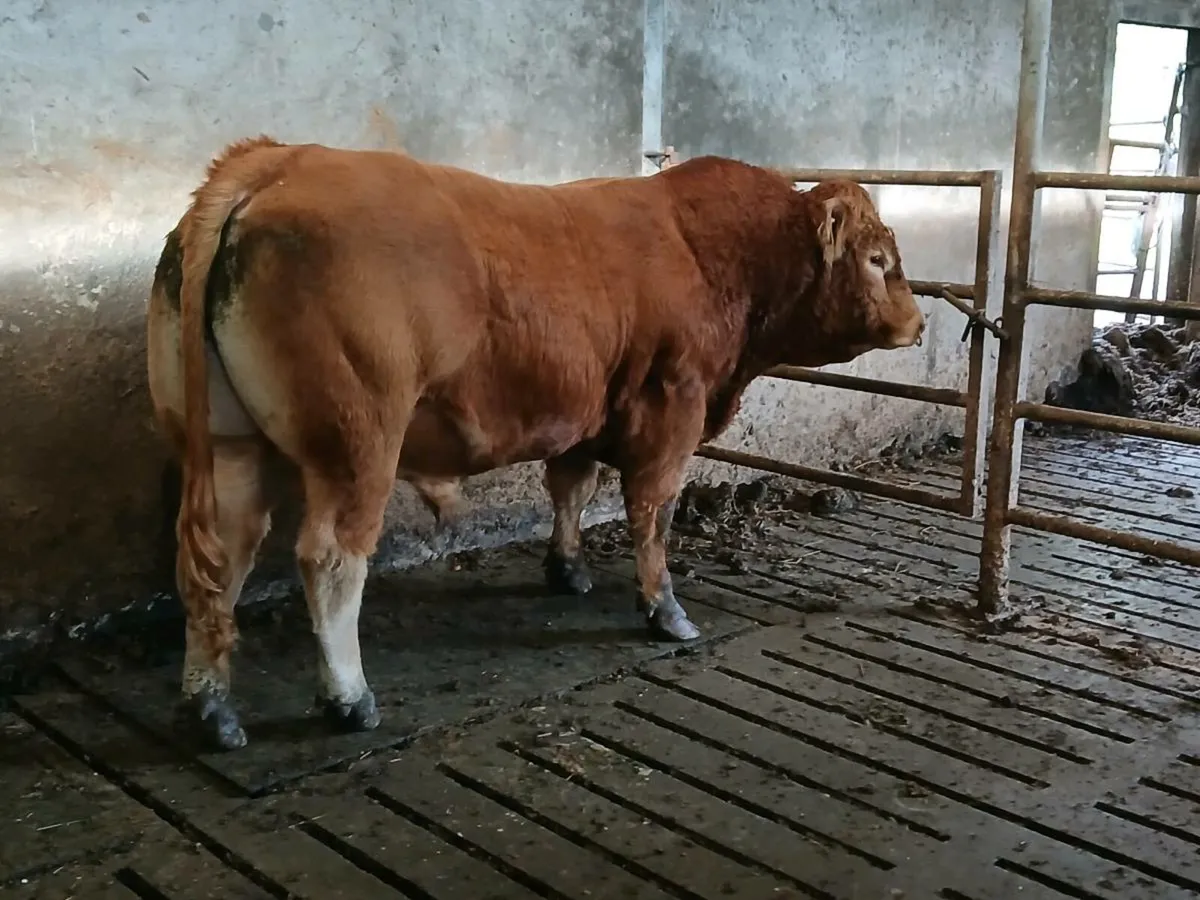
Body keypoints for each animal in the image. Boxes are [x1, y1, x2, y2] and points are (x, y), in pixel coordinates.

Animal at [146, 136, 925, 751]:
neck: (715, 254)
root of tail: (274, 158)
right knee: (331, 558)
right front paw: (664, 611)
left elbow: (571, 488)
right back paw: (348, 697)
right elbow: (653, 514)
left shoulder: (584, 410)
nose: (919, 324)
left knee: (219, 558)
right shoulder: (673, 406)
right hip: (358, 442)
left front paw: (567, 567)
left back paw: (210, 706)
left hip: (229, 444)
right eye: (877, 259)